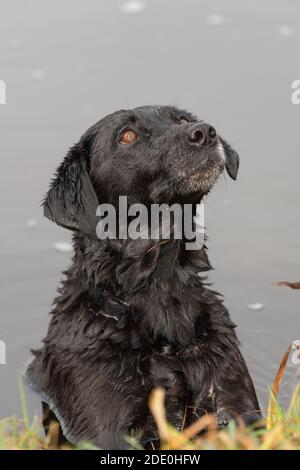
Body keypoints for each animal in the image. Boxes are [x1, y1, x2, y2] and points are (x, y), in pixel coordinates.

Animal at [25, 105, 260, 448]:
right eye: (127, 135)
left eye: (183, 120)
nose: (204, 132)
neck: (159, 291)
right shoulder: (112, 430)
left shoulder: (233, 405)